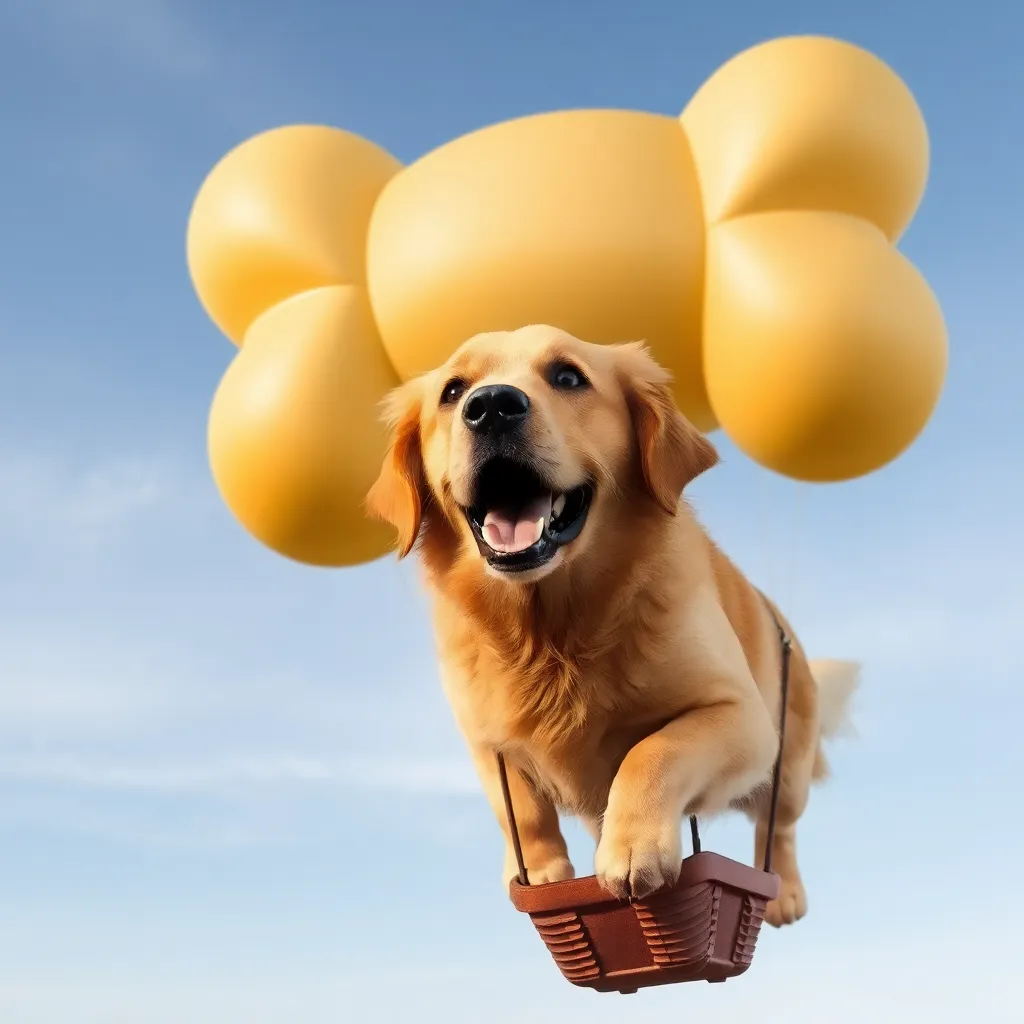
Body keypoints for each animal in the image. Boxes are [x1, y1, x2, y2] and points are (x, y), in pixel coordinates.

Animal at [368, 323, 856, 925]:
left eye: (568, 376)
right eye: (453, 391)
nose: (492, 407)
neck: (552, 634)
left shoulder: (740, 714)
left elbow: (653, 750)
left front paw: (632, 848)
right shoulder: (484, 740)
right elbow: (520, 809)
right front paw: (543, 871)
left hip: (789, 762)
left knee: (778, 824)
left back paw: (783, 891)